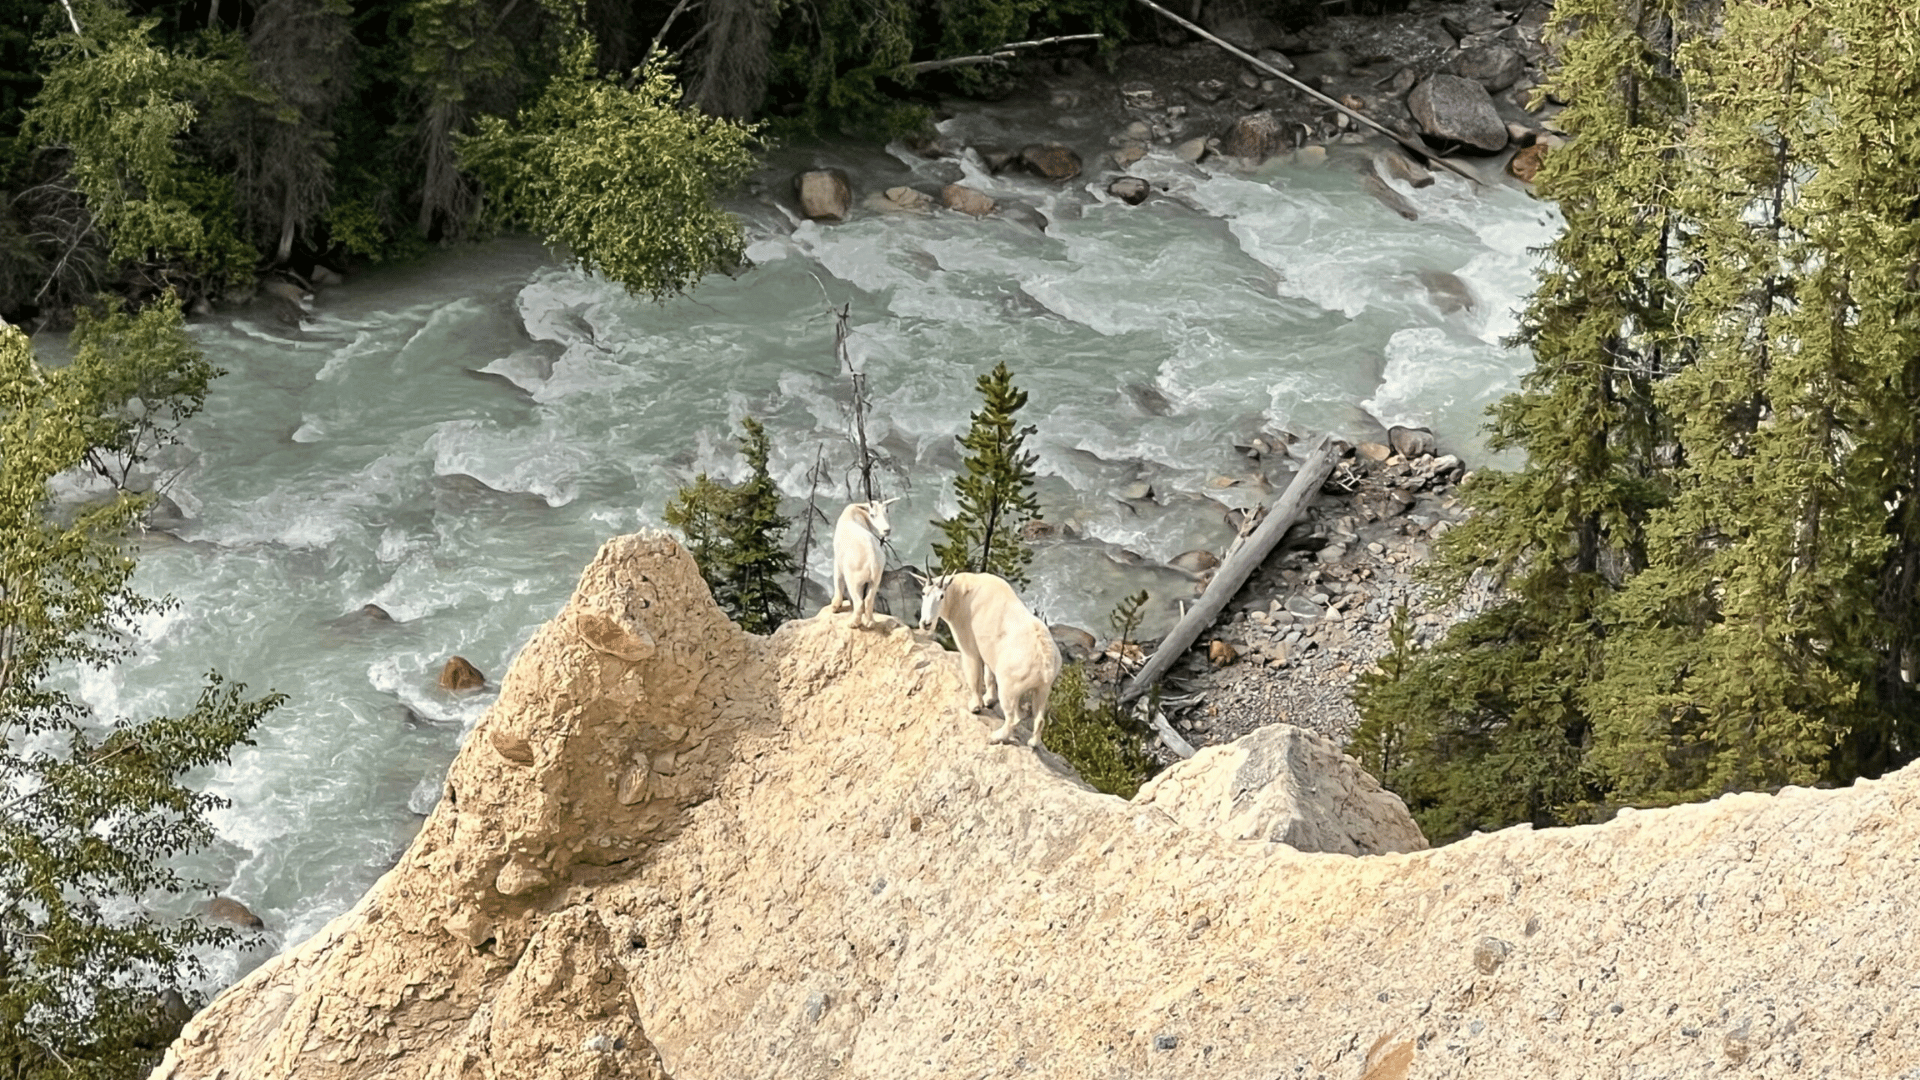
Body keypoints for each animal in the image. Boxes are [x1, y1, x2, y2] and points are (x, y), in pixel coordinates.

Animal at [830, 498, 897, 629]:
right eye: (872, 514)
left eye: (887, 511)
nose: (887, 530)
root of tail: (872, 558)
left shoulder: (838, 562)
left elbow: (838, 581)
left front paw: (835, 606)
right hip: (875, 579)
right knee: (869, 599)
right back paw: (869, 622)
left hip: (854, 579)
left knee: (859, 602)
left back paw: (853, 623)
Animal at [914, 571, 1062, 748]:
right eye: (923, 593)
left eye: (941, 596)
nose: (926, 624)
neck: (961, 594)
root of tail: (1046, 662)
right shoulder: (989, 652)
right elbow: (989, 676)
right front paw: (988, 700)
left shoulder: (970, 649)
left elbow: (974, 677)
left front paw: (975, 706)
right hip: (1043, 688)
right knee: (1039, 717)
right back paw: (1033, 742)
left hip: (1009, 686)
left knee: (1013, 717)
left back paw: (996, 737)